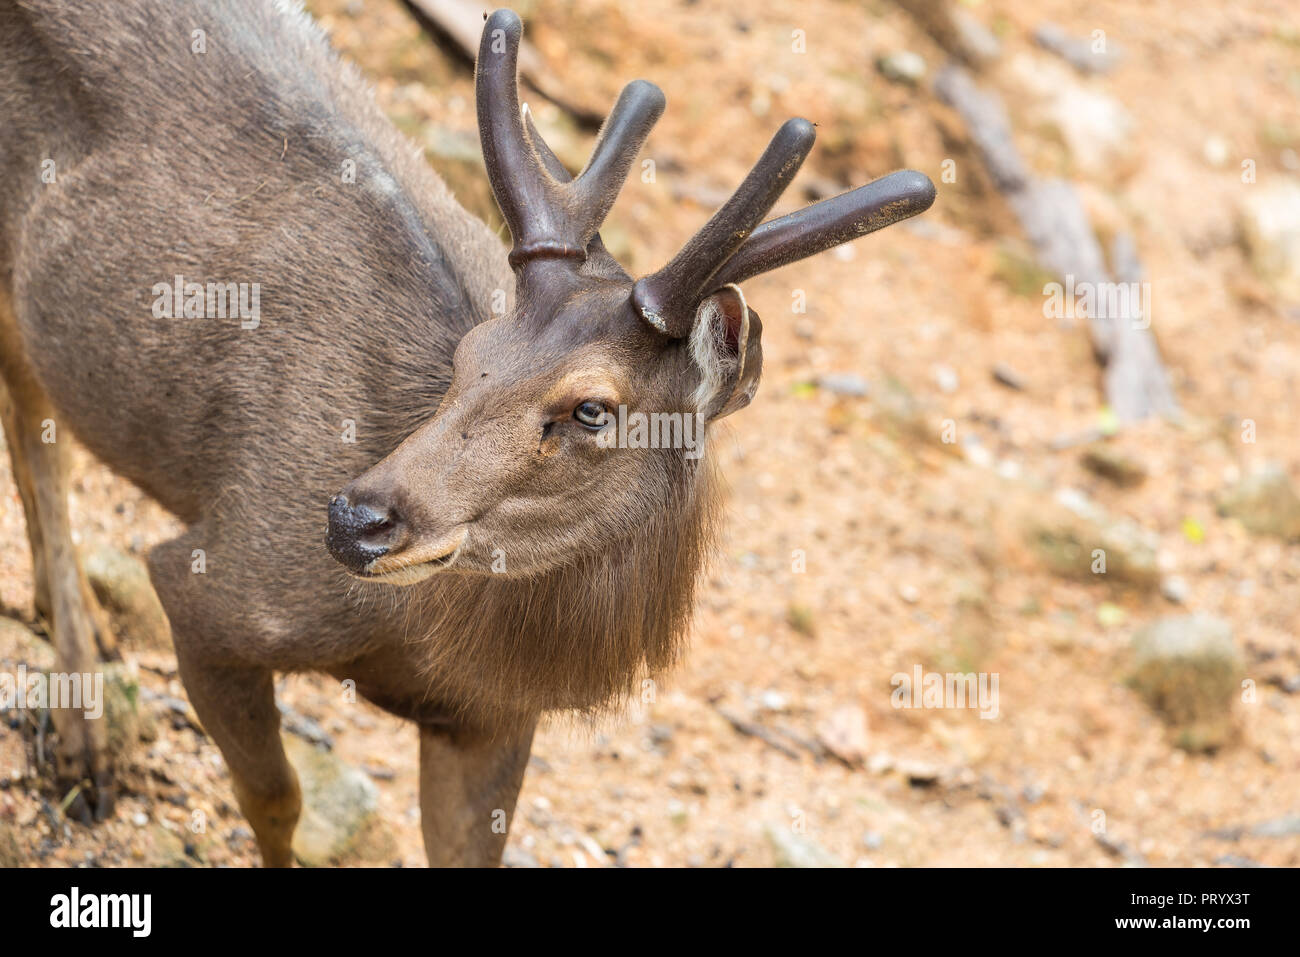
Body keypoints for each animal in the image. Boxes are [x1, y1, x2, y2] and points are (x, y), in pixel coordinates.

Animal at [0, 0, 935, 868]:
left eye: (591, 408)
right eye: (469, 353)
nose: (355, 519)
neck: (433, 646)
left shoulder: (494, 718)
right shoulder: (217, 589)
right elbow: (274, 797)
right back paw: (83, 733)